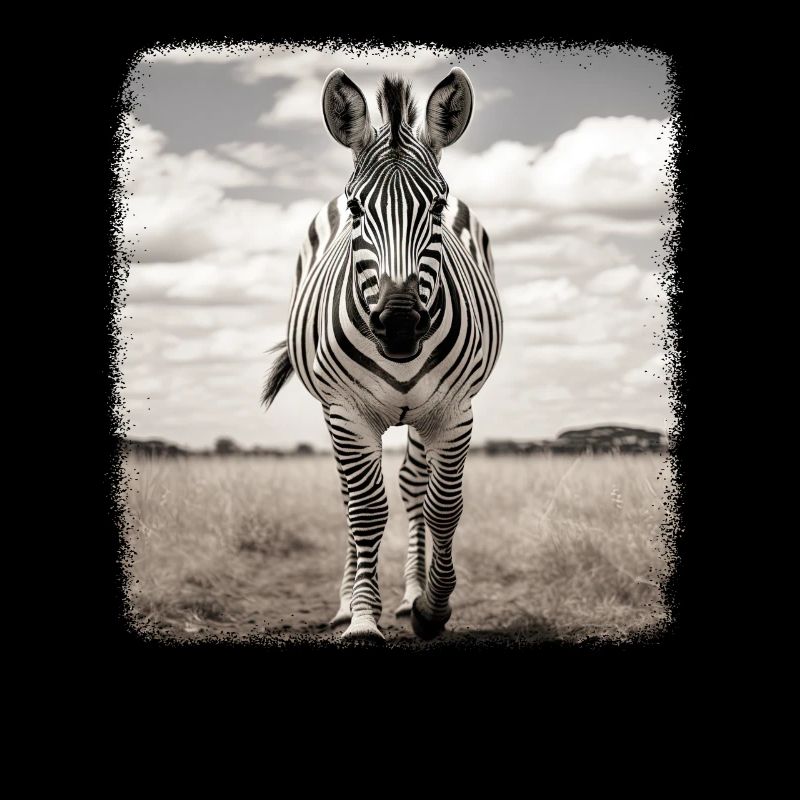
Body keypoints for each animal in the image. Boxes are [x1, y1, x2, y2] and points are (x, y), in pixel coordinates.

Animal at [262, 68, 503, 642]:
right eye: (356, 209)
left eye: (437, 207)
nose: (398, 325)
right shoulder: (346, 412)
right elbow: (366, 511)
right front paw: (362, 620)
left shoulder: (454, 411)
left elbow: (444, 507)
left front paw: (432, 608)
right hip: (337, 413)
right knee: (352, 498)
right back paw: (347, 601)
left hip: (419, 416)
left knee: (415, 488)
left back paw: (411, 595)